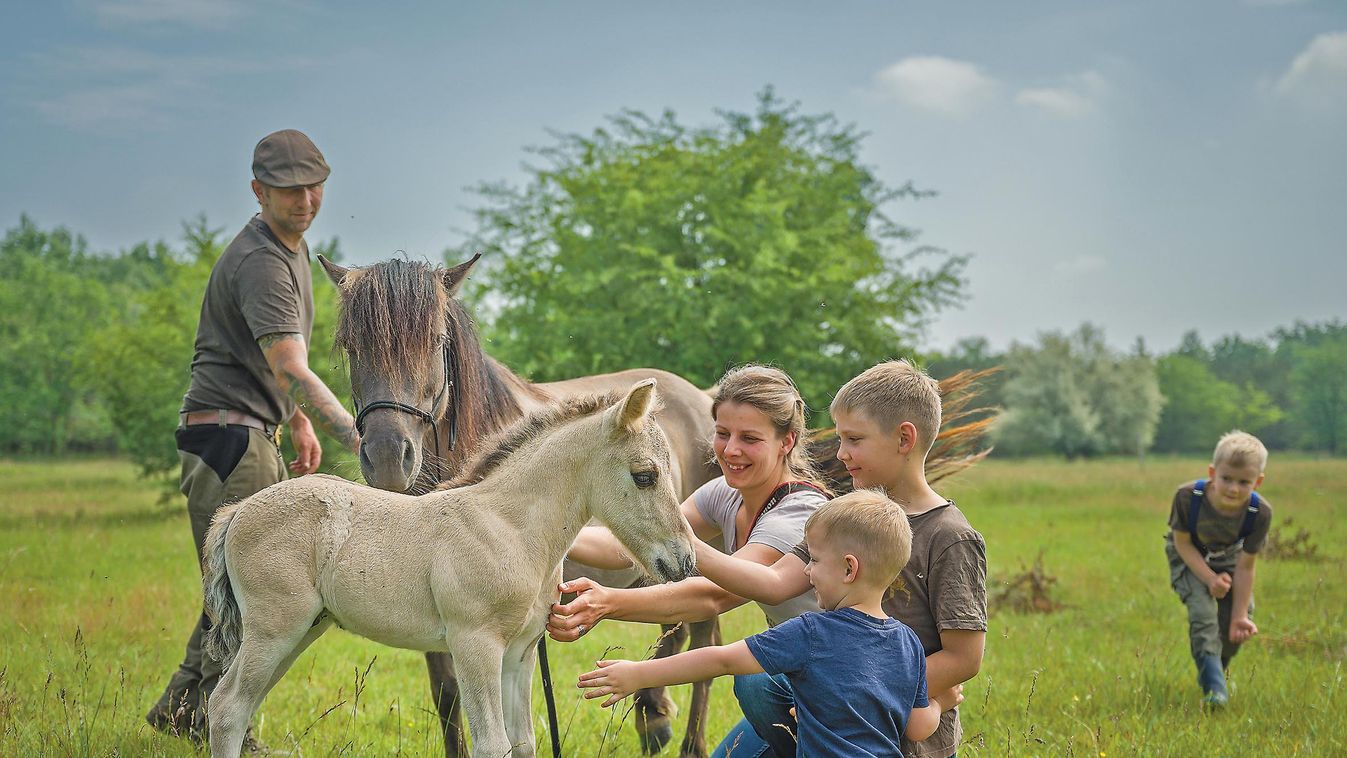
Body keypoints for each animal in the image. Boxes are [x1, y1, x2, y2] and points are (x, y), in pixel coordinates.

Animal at [210, 382, 700, 753]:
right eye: (644, 475)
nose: (684, 561)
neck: (508, 527)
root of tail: (237, 511)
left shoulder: (520, 653)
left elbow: (522, 743)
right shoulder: (474, 644)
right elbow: (492, 744)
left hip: (303, 630)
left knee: (239, 705)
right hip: (274, 629)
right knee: (226, 708)